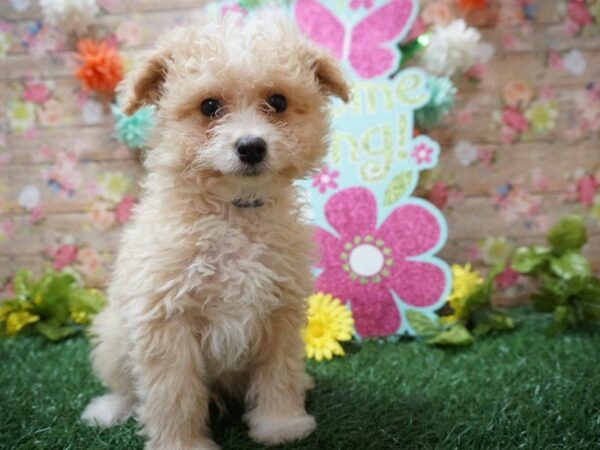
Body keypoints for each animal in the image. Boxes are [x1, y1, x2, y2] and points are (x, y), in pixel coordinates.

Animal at [82, 12, 350, 448]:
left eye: (277, 102)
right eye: (209, 106)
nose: (251, 147)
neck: (233, 211)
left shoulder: (280, 311)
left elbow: (279, 373)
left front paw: (281, 425)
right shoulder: (166, 319)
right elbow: (173, 393)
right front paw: (180, 443)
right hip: (114, 338)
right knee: (127, 386)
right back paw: (108, 409)